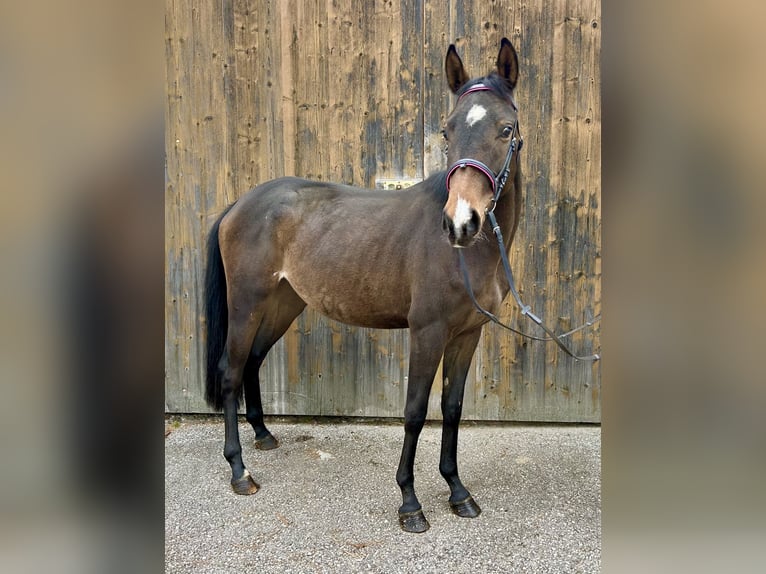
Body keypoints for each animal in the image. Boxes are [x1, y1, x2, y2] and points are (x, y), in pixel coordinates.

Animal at [206, 37, 520, 536]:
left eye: (506, 129)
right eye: (447, 131)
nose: (461, 222)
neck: (466, 253)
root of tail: (240, 203)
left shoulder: (468, 333)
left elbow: (452, 409)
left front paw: (457, 492)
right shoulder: (428, 332)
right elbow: (415, 413)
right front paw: (410, 503)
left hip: (283, 304)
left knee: (253, 361)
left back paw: (264, 435)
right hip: (247, 304)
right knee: (231, 371)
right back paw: (239, 471)